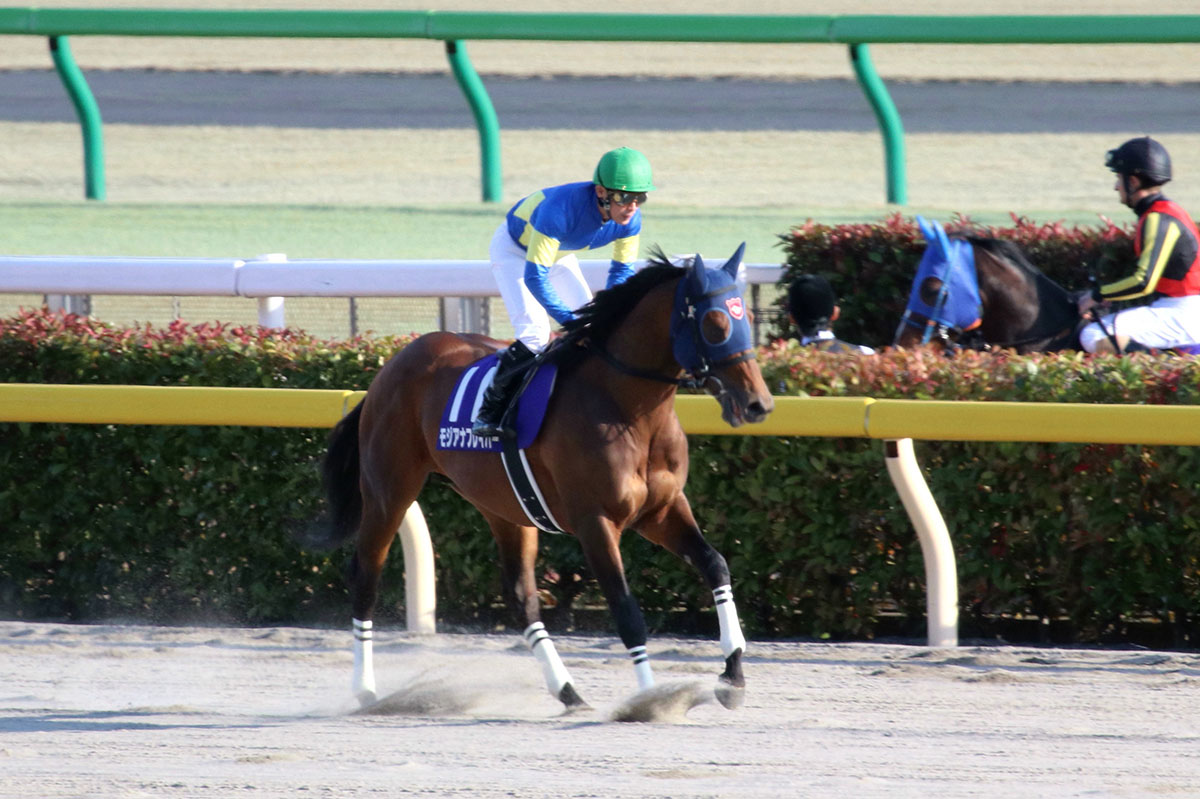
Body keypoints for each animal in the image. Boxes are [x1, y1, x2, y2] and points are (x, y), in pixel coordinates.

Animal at [315, 244, 775, 712]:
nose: (758, 403)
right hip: (389, 491)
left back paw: (568, 691)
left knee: (522, 597)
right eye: (715, 324)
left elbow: (715, 565)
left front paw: (733, 674)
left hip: (504, 507)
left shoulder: (661, 510)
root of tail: (389, 369)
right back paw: (365, 688)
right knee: (366, 574)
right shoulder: (595, 521)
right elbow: (627, 609)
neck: (627, 408)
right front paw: (649, 699)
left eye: (746, 320)